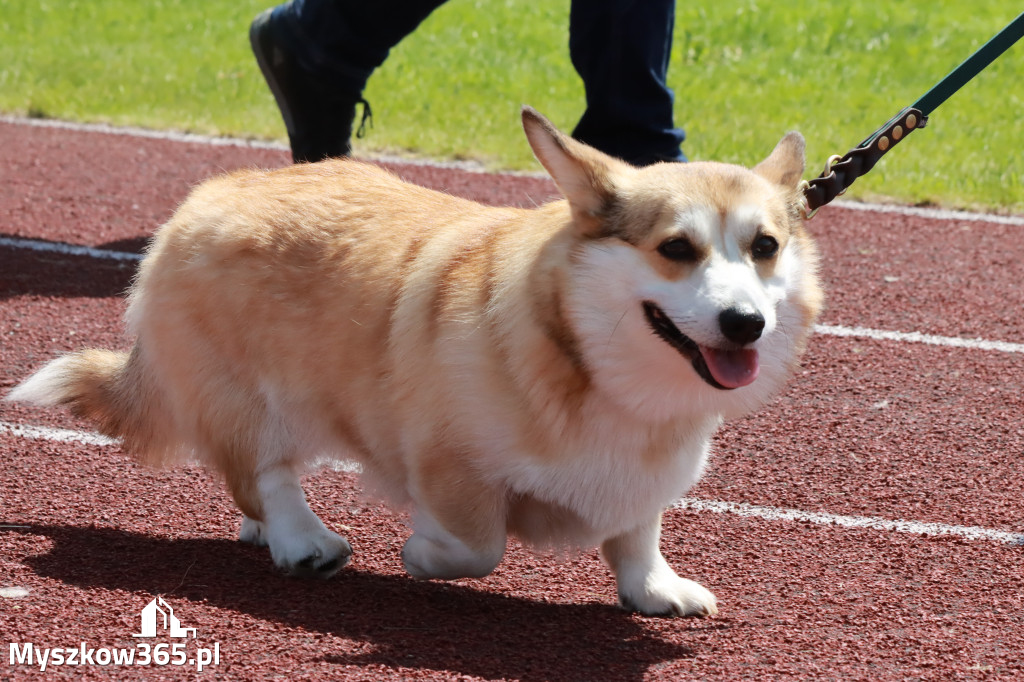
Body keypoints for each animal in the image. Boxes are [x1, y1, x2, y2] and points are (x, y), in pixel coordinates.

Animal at [8, 106, 823, 614]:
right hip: (245, 394)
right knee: (265, 471)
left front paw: (655, 589)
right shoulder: (449, 459)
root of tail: (202, 200)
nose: (745, 324)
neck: (594, 365)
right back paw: (302, 540)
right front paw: (422, 554)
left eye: (765, 246)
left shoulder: (644, 481)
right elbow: (477, 545)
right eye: (676, 248)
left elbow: (637, 533)